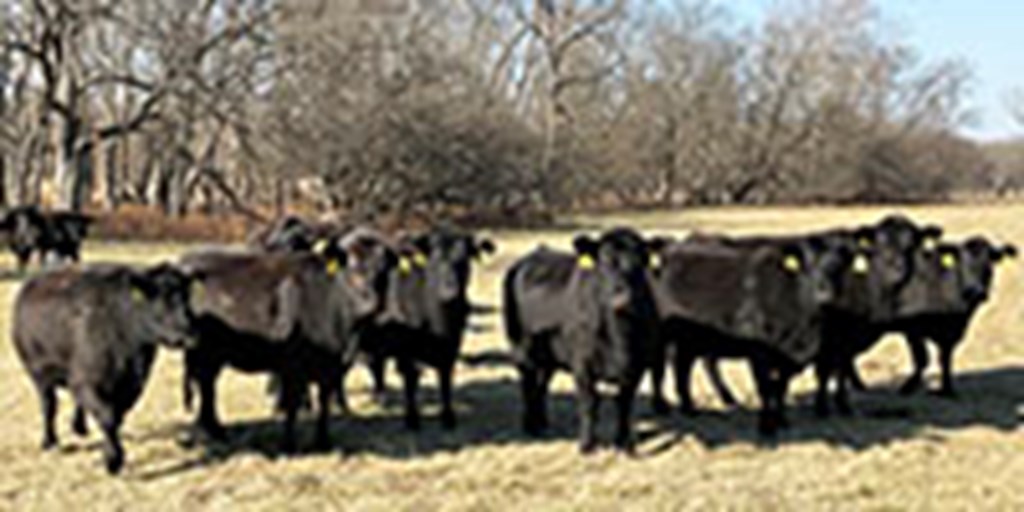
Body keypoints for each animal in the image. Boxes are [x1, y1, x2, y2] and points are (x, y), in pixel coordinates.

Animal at [13, 262, 195, 473]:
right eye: (159, 297)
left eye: (186, 297)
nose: (188, 335)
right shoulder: (88, 381)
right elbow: (108, 417)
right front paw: (113, 459)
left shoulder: (130, 385)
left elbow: (117, 415)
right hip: (38, 373)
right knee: (48, 405)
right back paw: (49, 441)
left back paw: (79, 427)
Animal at [180, 232, 395, 452]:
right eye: (352, 267)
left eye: (383, 270)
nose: (372, 302)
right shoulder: (293, 363)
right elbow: (291, 403)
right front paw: (288, 445)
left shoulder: (330, 367)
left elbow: (324, 402)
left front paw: (323, 441)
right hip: (203, 353)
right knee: (205, 385)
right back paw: (210, 431)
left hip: (213, 354)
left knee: (207, 385)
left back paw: (214, 430)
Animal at [352, 226, 495, 430]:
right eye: (434, 259)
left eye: (464, 259)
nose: (450, 291)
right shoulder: (407, 349)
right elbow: (411, 380)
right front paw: (412, 419)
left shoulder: (451, 346)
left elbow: (445, 379)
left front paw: (448, 417)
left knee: (377, 364)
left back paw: (381, 398)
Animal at [505, 228, 663, 452]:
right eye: (604, 260)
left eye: (642, 261)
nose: (624, 298)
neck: (620, 338)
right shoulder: (582, 364)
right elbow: (590, 402)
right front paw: (587, 444)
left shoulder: (637, 366)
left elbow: (624, 402)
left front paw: (623, 442)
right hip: (521, 346)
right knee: (527, 382)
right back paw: (530, 425)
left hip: (550, 354)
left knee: (542, 383)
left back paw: (542, 421)